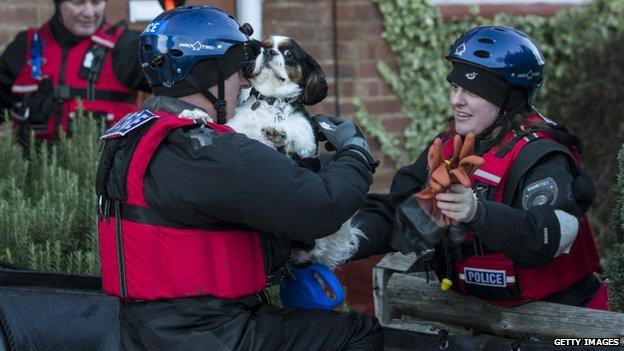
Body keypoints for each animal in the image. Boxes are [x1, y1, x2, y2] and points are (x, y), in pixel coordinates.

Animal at [225, 36, 360, 270]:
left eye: (288, 54)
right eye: (262, 47)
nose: (269, 52)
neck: (273, 101)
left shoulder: (307, 139)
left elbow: (294, 129)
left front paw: (278, 132)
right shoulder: (237, 128)